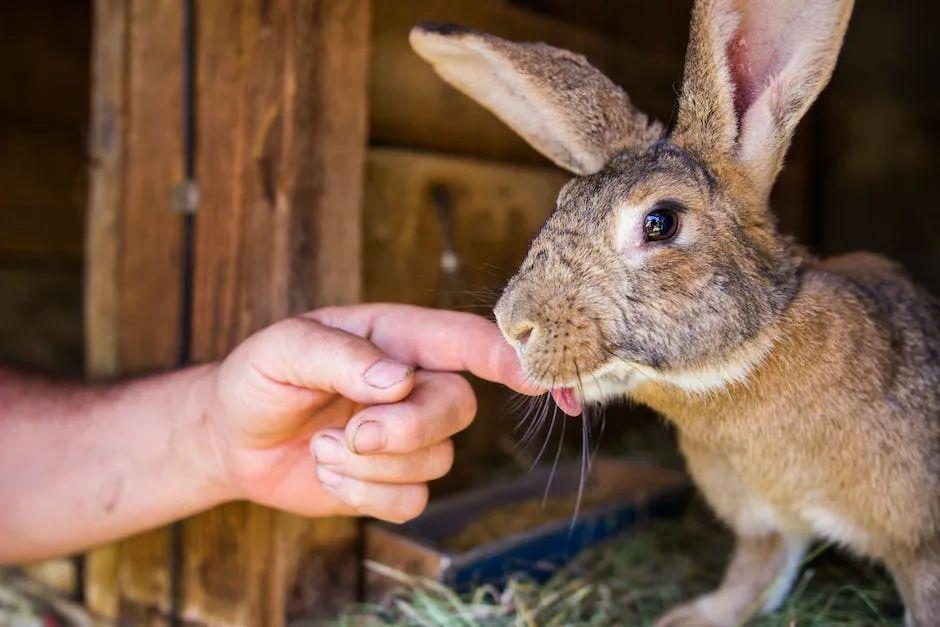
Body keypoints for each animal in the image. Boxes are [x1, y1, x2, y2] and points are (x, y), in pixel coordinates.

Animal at [410, 0, 940, 624]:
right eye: (562, 204)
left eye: (660, 222)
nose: (514, 325)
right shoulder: (765, 523)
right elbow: (753, 573)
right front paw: (688, 617)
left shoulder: (922, 546)